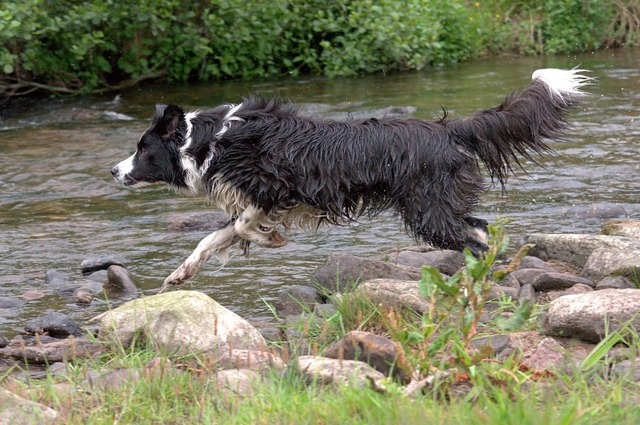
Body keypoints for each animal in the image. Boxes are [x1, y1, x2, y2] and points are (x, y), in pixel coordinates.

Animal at [110, 68, 592, 290]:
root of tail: (448, 128)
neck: (210, 140)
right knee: (479, 227)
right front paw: (179, 275)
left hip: (427, 210)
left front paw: (273, 240)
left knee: (473, 235)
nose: (114, 170)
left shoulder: (274, 190)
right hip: (437, 205)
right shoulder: (251, 198)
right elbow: (211, 239)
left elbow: (246, 226)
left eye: (142, 150)